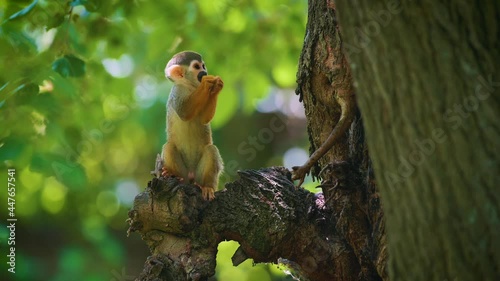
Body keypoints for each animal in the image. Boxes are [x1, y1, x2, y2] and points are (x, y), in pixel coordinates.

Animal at [161, 50, 224, 199]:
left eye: (203, 65)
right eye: (196, 67)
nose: (204, 72)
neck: (190, 87)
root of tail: (190, 176)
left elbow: (204, 119)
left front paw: (216, 86)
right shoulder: (176, 91)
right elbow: (184, 113)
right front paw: (207, 83)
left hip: (198, 175)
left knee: (211, 150)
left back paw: (207, 187)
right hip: (184, 173)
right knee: (169, 147)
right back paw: (173, 174)